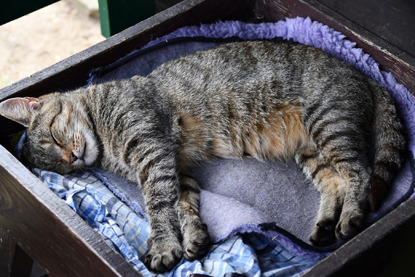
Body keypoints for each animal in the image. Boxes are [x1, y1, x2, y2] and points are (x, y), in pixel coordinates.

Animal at [0, 41, 406, 272]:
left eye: (54, 137)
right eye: (57, 166)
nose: (71, 159)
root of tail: (363, 73)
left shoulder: (152, 153)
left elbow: (158, 208)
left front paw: (164, 246)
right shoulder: (175, 169)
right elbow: (184, 205)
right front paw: (193, 236)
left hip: (330, 123)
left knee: (359, 172)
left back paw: (351, 217)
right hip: (313, 151)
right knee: (335, 181)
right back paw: (324, 225)